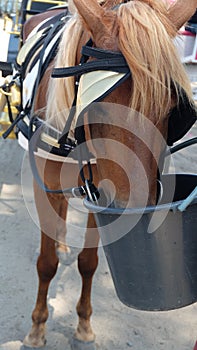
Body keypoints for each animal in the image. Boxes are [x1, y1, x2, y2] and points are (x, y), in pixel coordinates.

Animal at [19, 0, 196, 348]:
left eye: (171, 109)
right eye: (98, 107)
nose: (136, 212)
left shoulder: (102, 195)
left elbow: (89, 263)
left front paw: (84, 323)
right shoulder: (45, 185)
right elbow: (46, 264)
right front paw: (37, 326)